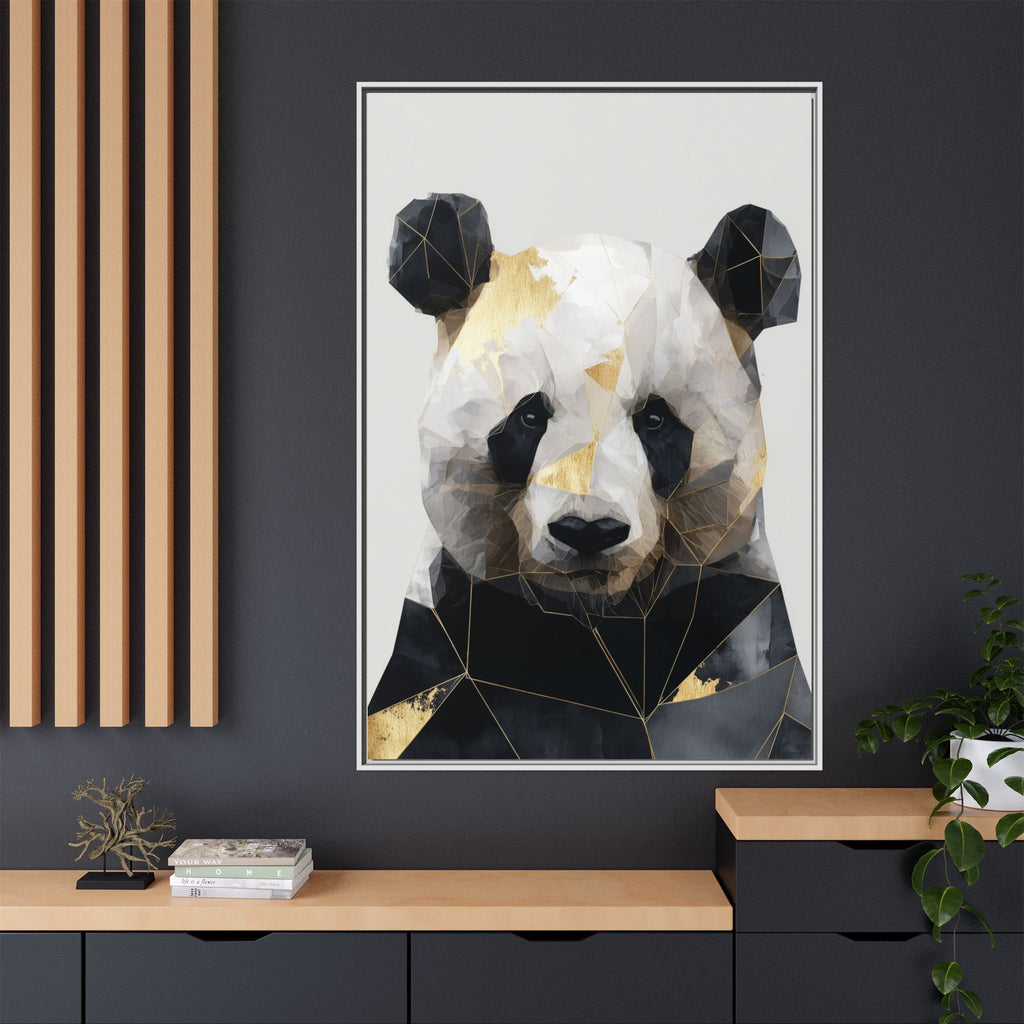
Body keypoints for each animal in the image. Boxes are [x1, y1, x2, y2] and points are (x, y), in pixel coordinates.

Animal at [367, 193, 812, 762]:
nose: (588, 531)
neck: (598, 620)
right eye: (529, 416)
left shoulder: (734, 628)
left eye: (655, 419)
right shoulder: (446, 644)